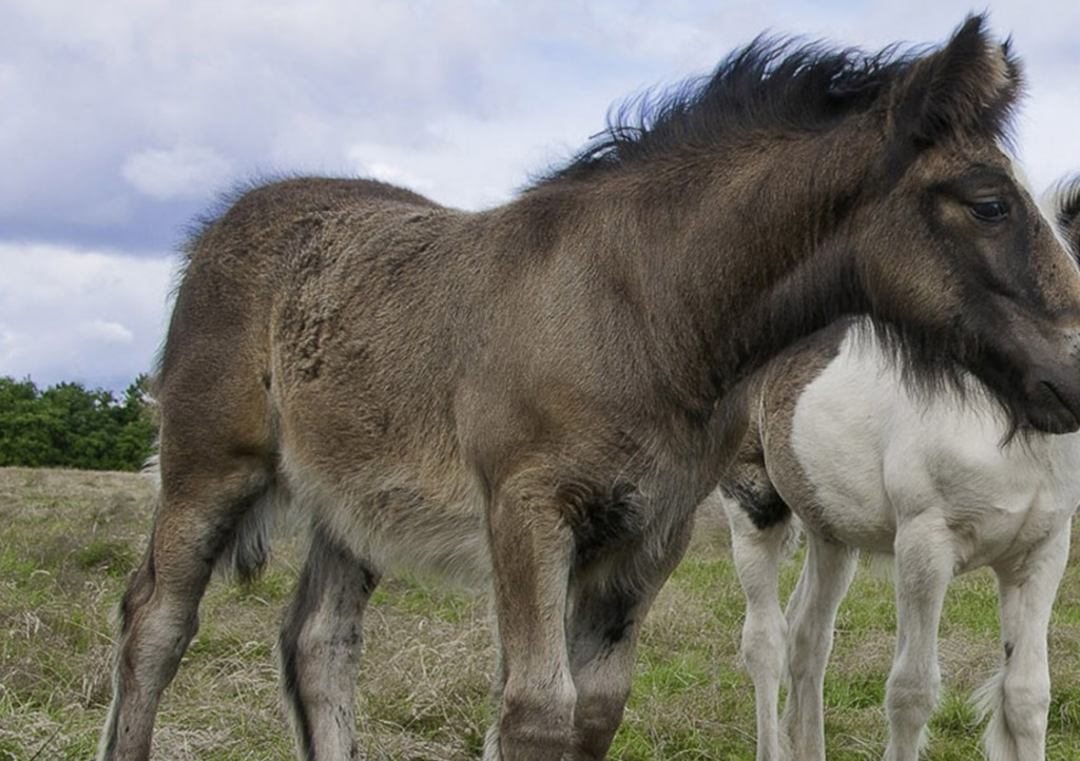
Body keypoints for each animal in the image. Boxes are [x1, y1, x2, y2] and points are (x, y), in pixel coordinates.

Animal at [717, 178, 1080, 759]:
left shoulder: (1042, 551)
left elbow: (1026, 697)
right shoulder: (923, 547)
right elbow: (911, 691)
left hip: (831, 532)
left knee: (808, 637)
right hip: (752, 507)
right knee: (765, 641)